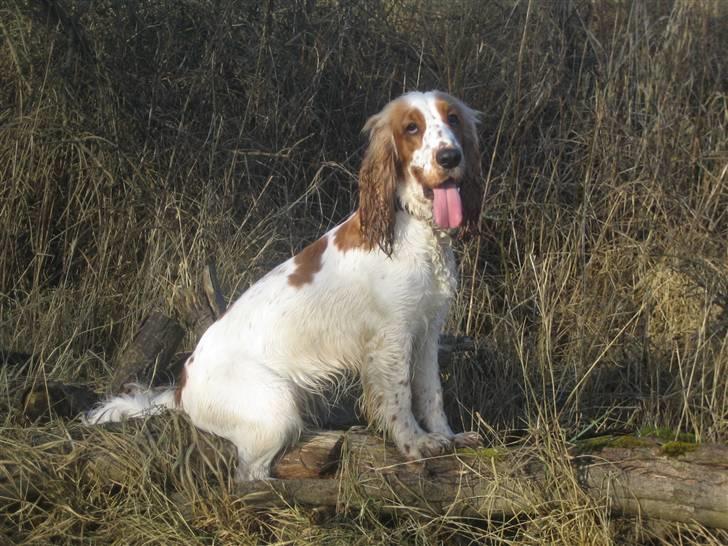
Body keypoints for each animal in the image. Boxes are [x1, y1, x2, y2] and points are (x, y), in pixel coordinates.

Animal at [86, 91, 484, 478]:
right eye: (411, 127)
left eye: (453, 119)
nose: (450, 156)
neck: (414, 226)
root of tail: (182, 388)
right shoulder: (392, 338)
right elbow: (400, 398)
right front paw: (415, 443)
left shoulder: (427, 332)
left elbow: (431, 392)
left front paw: (449, 436)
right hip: (277, 406)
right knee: (250, 476)